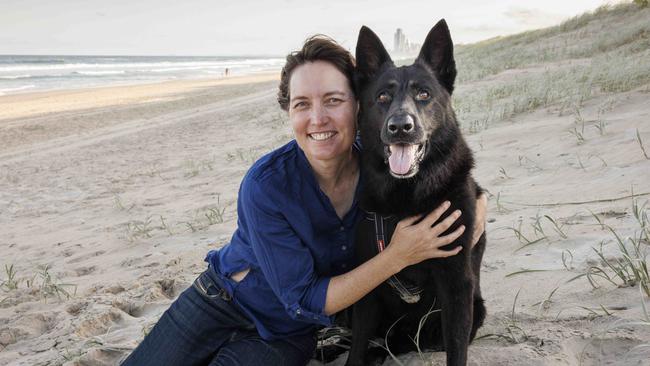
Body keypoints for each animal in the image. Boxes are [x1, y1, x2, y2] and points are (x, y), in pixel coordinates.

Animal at [346, 20, 484, 366]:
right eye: (382, 96)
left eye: (424, 94)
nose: (400, 127)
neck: (407, 197)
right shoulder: (367, 288)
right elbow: (355, 350)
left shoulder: (456, 283)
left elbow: (457, 350)